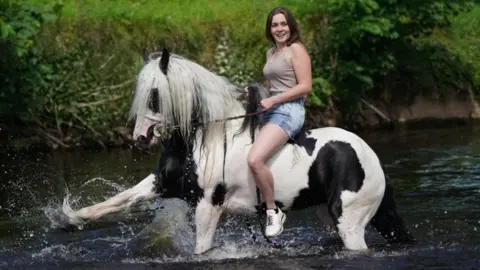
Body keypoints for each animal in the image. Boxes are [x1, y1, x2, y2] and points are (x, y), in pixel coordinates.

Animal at [59, 47, 412, 255]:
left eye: (155, 95)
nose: (141, 139)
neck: (203, 141)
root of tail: (372, 158)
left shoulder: (208, 206)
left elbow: (202, 251)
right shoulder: (162, 183)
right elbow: (119, 200)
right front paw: (72, 217)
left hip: (349, 219)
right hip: (328, 214)